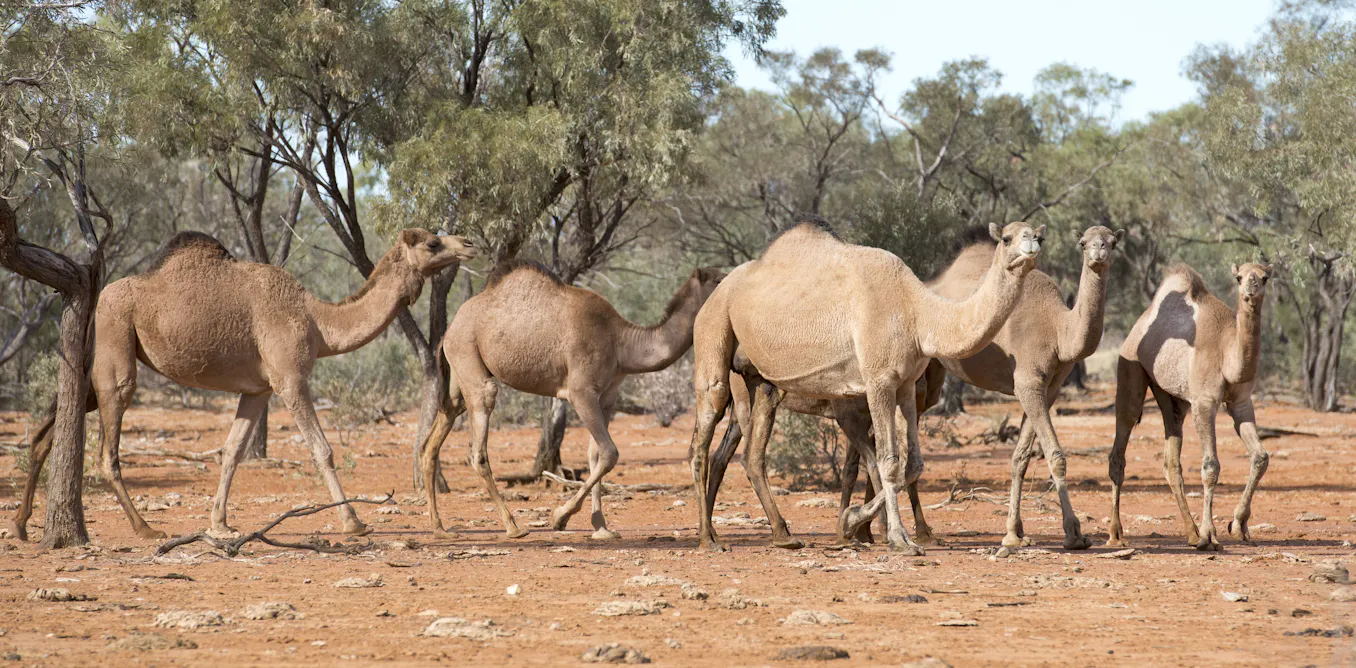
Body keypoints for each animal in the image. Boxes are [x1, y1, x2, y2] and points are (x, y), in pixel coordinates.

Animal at [4, 229, 477, 542]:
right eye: (433, 243)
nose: (470, 243)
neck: (317, 320)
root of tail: (97, 299)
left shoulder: (258, 390)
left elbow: (231, 452)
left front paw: (219, 523)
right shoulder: (290, 379)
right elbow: (322, 449)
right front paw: (355, 523)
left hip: (91, 366)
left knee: (48, 431)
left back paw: (22, 524)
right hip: (116, 345)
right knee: (109, 447)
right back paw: (145, 527)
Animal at [416, 261, 724, 540]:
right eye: (719, 279)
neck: (619, 342)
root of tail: (449, 330)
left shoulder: (607, 397)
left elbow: (595, 455)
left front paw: (602, 527)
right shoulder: (581, 392)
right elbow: (610, 453)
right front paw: (560, 516)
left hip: (458, 378)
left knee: (436, 435)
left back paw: (439, 528)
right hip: (469, 355)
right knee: (478, 446)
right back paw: (513, 526)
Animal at [688, 216, 1044, 553]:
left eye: (1038, 234)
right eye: (1007, 238)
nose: (1033, 244)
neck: (917, 313)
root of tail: (717, 291)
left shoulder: (905, 386)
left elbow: (913, 465)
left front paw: (852, 522)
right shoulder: (878, 382)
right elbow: (887, 463)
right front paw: (897, 539)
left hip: (761, 381)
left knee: (752, 452)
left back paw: (782, 536)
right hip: (714, 328)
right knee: (702, 436)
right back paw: (708, 538)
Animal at [1107, 262, 1271, 551]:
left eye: (1265, 277)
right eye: (1239, 277)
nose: (1251, 288)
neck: (1227, 351)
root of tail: (1139, 325)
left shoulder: (1240, 402)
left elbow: (1260, 457)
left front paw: (1237, 525)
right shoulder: (1204, 402)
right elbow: (1211, 467)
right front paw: (1209, 536)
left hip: (1173, 398)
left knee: (1171, 460)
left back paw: (1191, 532)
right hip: (1130, 369)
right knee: (1120, 443)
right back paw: (1116, 534)